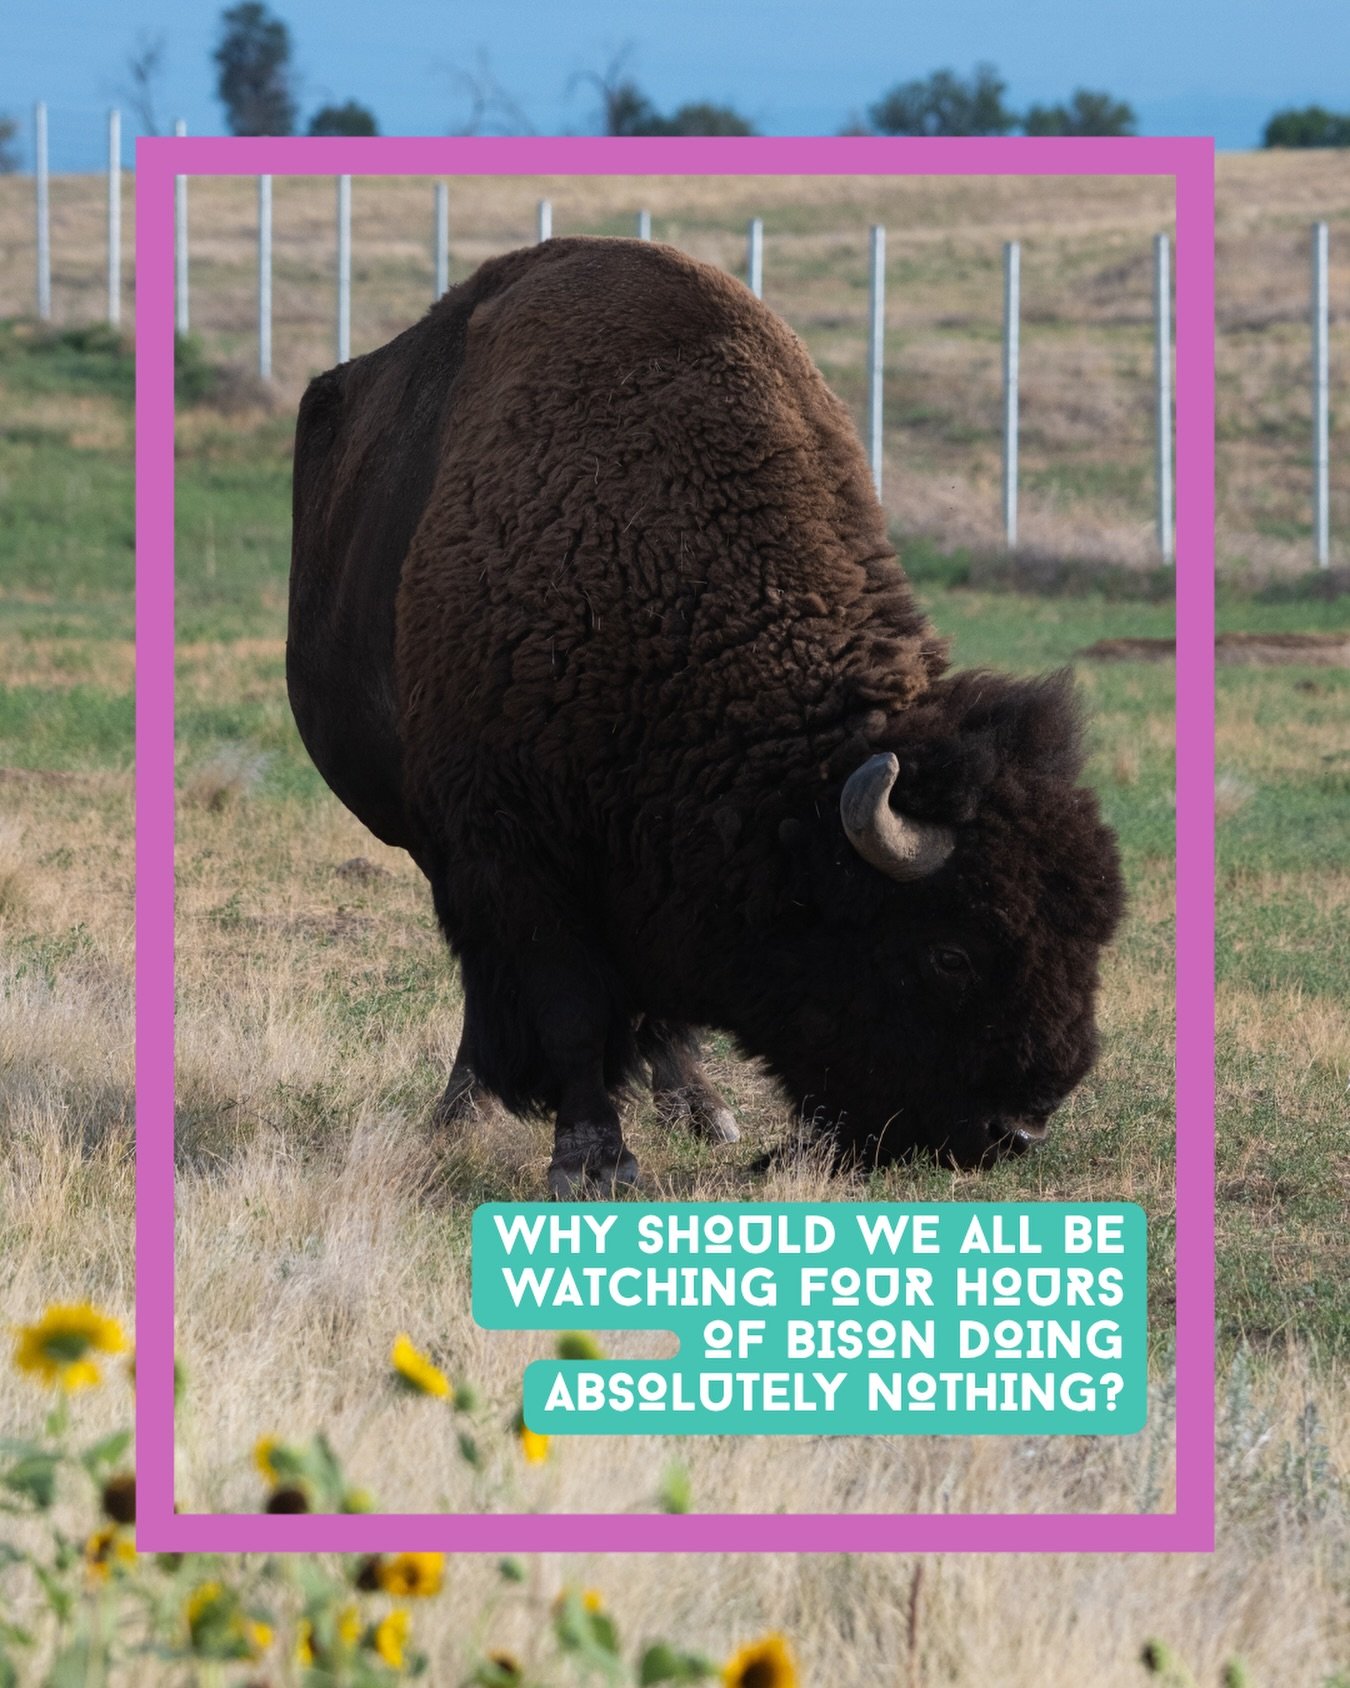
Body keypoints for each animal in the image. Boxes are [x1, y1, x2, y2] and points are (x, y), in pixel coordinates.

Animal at [287, 236, 1123, 1195]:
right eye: (948, 953)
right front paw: (593, 1160)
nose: (1013, 1130)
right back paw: (469, 1109)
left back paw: (699, 1109)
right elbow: (567, 1007)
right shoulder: (512, 852)